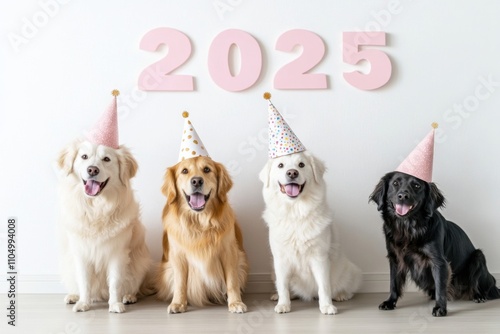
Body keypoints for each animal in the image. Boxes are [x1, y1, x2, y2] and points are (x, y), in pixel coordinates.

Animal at [56, 138, 150, 314]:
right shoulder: (81, 254)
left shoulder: (118, 253)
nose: (92, 170)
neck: (96, 209)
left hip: (138, 264)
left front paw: (115, 304)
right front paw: (83, 303)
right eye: (84, 156)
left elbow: (115, 282)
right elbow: (84, 281)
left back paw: (128, 297)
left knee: (133, 287)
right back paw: (73, 296)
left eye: (106, 159)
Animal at [156, 156, 248, 314]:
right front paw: (178, 303)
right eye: (184, 171)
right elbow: (180, 283)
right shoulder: (177, 256)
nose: (197, 181)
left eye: (206, 169)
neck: (200, 223)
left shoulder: (229, 252)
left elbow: (232, 281)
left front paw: (235, 302)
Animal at [260, 150, 362, 314]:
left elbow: (324, 286)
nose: (292, 173)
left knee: (347, 289)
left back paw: (341, 295)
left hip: (351, 271)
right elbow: (282, 286)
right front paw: (283, 304)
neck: (296, 212)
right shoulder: (280, 259)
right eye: (280, 165)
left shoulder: (319, 258)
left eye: (301, 164)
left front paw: (326, 306)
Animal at [368, 172, 500, 316]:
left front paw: (440, 308)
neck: (408, 228)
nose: (403, 196)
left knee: (478, 285)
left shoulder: (439, 261)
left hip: (478, 257)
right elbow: (393, 283)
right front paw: (390, 302)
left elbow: (440, 287)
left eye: (417, 186)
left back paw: (478, 296)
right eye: (395, 183)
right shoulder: (395, 258)